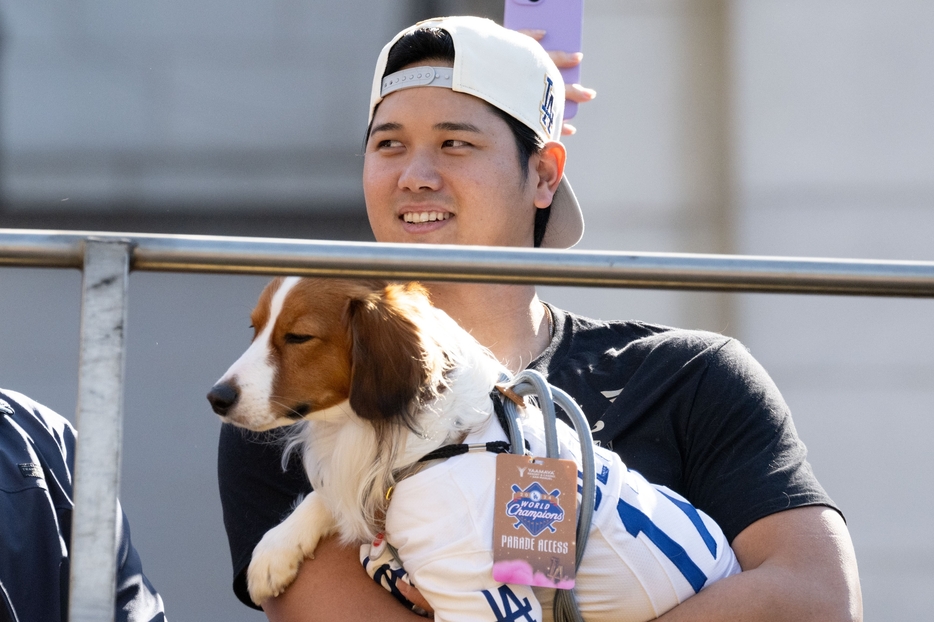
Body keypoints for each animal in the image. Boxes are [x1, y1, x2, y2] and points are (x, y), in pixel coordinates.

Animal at [208, 280, 744, 622]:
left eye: (298, 336)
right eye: (255, 329)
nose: (216, 397)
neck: (444, 441)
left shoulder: (477, 591)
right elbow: (329, 496)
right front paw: (274, 551)